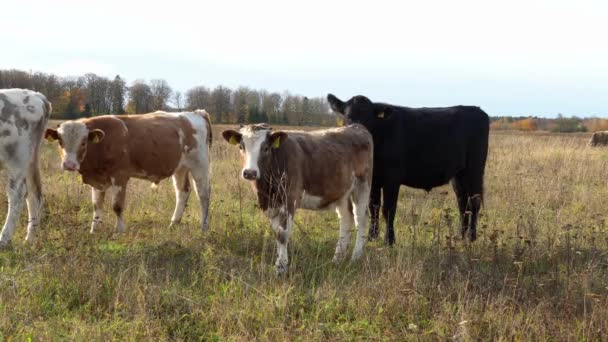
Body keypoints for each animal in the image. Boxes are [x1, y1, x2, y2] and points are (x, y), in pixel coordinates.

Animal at [0, 89, 51, 247]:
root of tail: (37, 95)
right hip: (29, 159)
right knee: (34, 194)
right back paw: (30, 238)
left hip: (17, 157)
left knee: (17, 193)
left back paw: (4, 239)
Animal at [45, 111, 213, 234]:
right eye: (60, 141)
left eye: (83, 142)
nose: (69, 164)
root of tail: (196, 113)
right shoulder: (97, 180)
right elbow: (96, 205)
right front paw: (94, 230)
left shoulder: (120, 176)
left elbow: (117, 206)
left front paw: (118, 231)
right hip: (180, 167)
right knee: (182, 192)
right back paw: (173, 224)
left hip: (200, 165)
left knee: (203, 194)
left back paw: (203, 227)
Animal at [223, 124, 376, 274]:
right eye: (241, 147)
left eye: (265, 148)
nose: (250, 173)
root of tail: (356, 127)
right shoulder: (270, 204)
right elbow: (276, 232)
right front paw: (279, 263)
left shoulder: (289, 199)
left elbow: (282, 234)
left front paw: (281, 267)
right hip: (341, 192)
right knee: (346, 218)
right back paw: (337, 259)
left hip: (362, 186)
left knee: (360, 219)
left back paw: (355, 257)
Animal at [328, 93, 490, 243]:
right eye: (348, 117)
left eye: (369, 117)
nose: (359, 133)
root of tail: (476, 110)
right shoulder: (373, 179)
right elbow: (373, 207)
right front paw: (372, 238)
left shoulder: (392, 178)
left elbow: (388, 209)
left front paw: (389, 241)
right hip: (458, 174)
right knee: (462, 201)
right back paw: (460, 235)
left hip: (474, 169)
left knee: (474, 202)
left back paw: (471, 237)